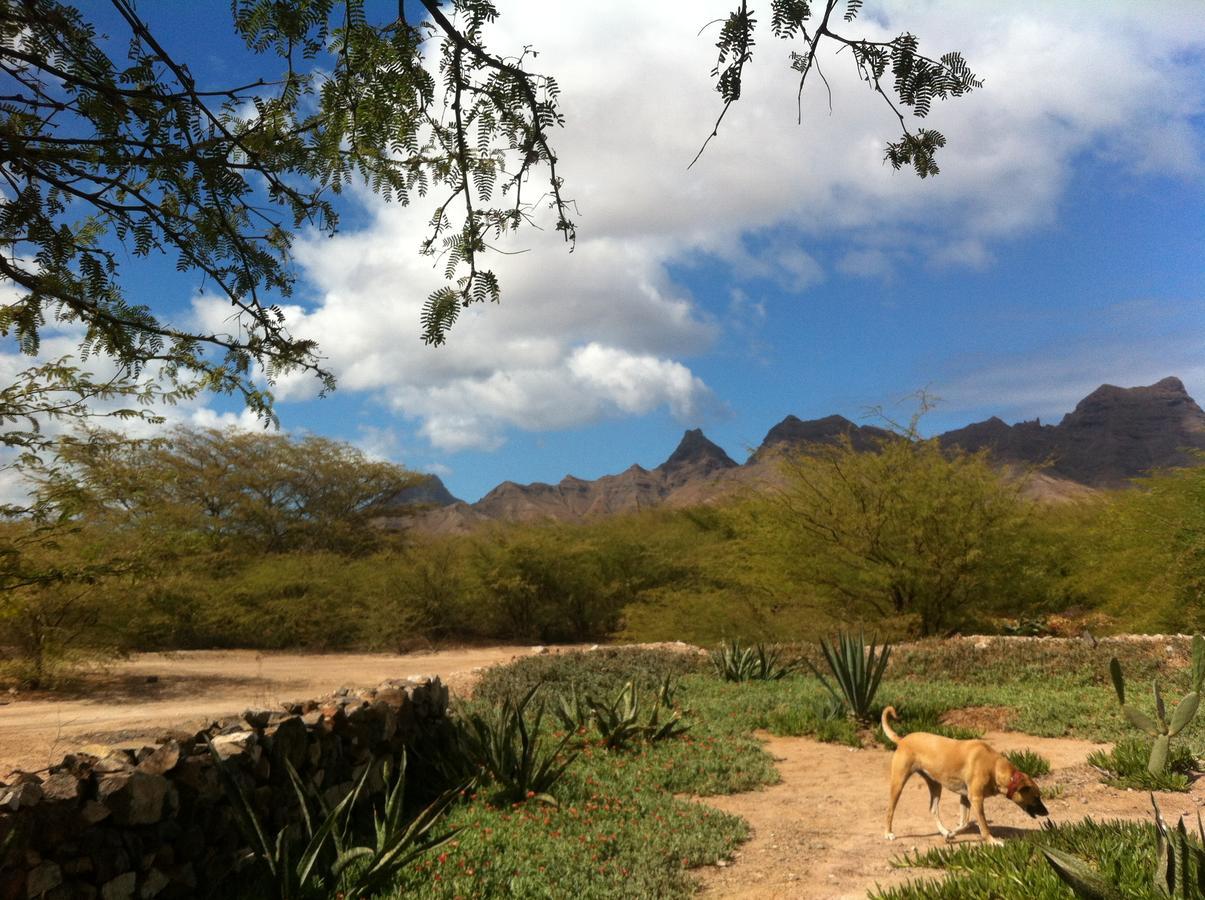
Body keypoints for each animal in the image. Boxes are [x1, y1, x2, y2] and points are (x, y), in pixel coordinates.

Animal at [877, 713, 1045, 843]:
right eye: (1036, 797)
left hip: (935, 785)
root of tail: (902, 740)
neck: (994, 767)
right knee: (890, 809)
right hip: (898, 782)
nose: (1046, 812)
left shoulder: (966, 797)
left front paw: (951, 833)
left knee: (933, 809)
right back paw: (888, 833)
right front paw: (992, 841)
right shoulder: (976, 799)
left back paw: (944, 831)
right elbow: (983, 825)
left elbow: (965, 823)